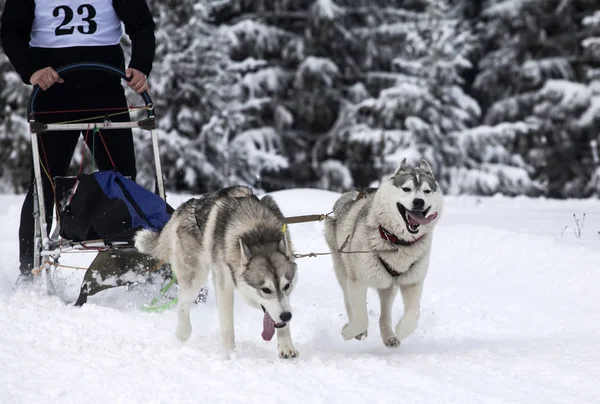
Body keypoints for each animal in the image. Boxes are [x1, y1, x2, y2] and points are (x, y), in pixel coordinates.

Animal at [133, 185, 298, 358]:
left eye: (287, 286)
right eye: (266, 290)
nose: (287, 316)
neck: (258, 233)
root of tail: (181, 209)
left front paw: (286, 346)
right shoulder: (224, 284)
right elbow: (227, 325)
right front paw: (229, 355)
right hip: (195, 278)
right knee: (182, 301)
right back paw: (183, 332)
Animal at [324, 159, 446, 346]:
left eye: (427, 191)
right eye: (406, 189)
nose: (419, 201)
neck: (397, 241)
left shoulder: (412, 282)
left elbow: (414, 313)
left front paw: (402, 330)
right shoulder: (357, 282)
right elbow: (361, 318)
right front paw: (348, 332)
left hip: (388, 285)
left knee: (385, 313)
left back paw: (389, 336)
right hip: (343, 269)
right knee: (348, 302)